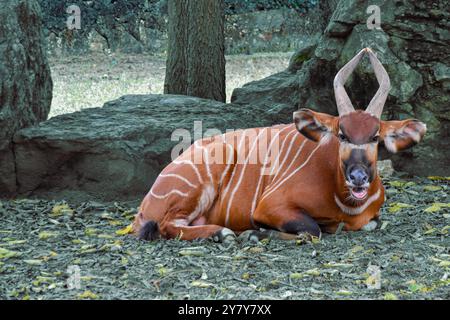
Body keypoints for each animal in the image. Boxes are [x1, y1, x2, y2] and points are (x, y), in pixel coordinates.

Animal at [133, 48, 426, 241]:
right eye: (341, 135)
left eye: (375, 136)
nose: (358, 177)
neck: (345, 202)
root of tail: (145, 204)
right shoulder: (271, 206)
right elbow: (312, 229)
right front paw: (259, 232)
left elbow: (372, 223)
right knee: (166, 225)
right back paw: (225, 233)